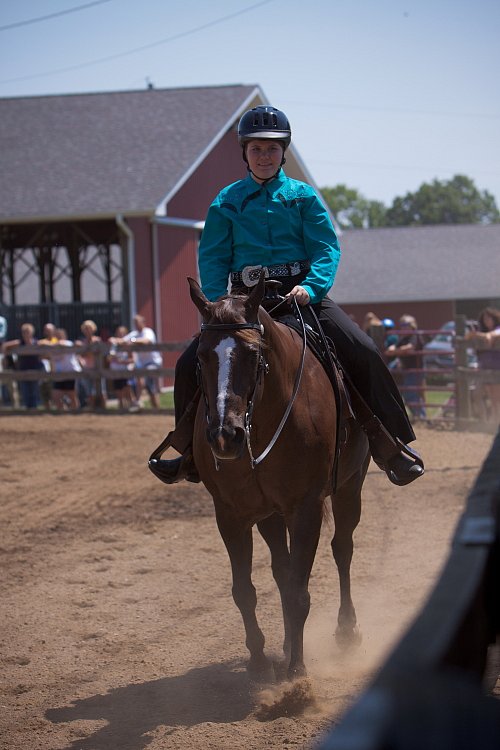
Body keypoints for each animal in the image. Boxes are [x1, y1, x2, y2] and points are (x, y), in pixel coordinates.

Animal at [189, 274, 370, 680]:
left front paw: (297, 674)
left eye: (254, 354)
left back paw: (347, 629)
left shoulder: (306, 509)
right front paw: (259, 663)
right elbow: (246, 590)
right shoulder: (231, 514)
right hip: (270, 515)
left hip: (350, 487)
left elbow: (299, 592)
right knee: (281, 569)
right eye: (201, 356)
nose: (224, 435)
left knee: (342, 549)